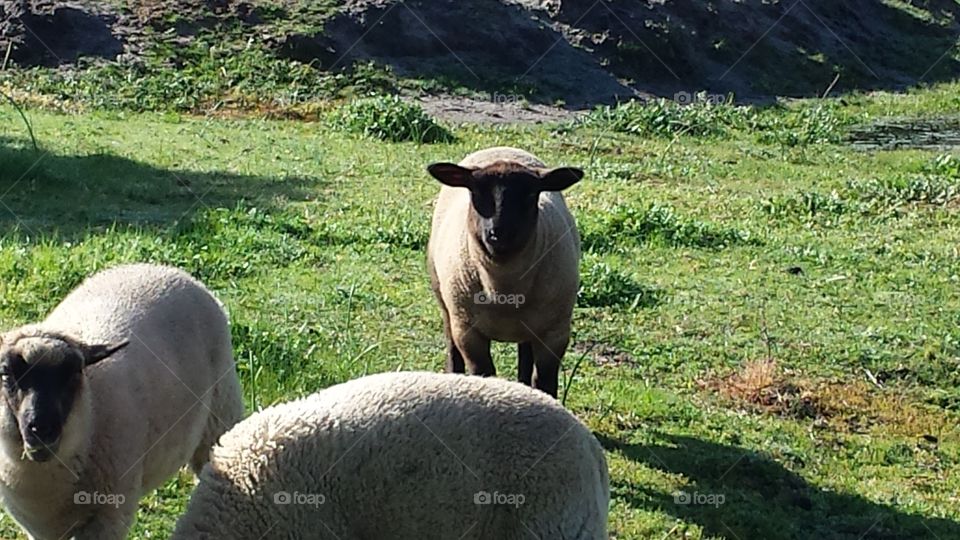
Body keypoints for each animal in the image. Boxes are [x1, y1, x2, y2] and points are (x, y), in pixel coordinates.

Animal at [0, 263, 244, 540]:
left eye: (74, 373)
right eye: (6, 373)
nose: (42, 429)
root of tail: (163, 267)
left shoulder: (108, 518)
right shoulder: (40, 529)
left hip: (220, 417)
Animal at [426, 147, 583, 397]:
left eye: (531, 194)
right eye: (475, 192)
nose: (499, 233)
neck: (504, 288)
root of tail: (501, 148)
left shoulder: (555, 333)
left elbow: (545, 381)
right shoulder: (468, 333)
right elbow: (484, 374)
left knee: (525, 358)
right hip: (446, 305)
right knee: (452, 349)